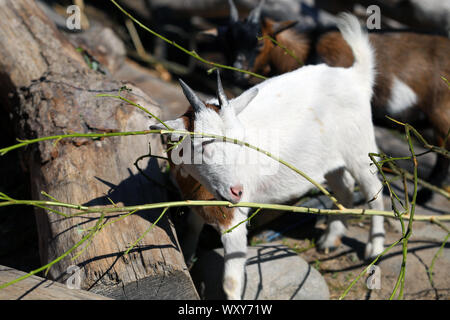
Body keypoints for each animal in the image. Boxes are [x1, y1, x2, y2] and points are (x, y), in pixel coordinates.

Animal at [153, 13, 384, 300]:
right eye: (203, 144)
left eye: (241, 140)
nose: (237, 190)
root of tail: (355, 76)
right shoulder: (198, 201)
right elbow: (192, 230)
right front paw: (187, 255)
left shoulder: (234, 218)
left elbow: (231, 281)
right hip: (330, 162)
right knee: (344, 189)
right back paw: (330, 240)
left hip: (360, 147)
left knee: (374, 190)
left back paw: (374, 250)